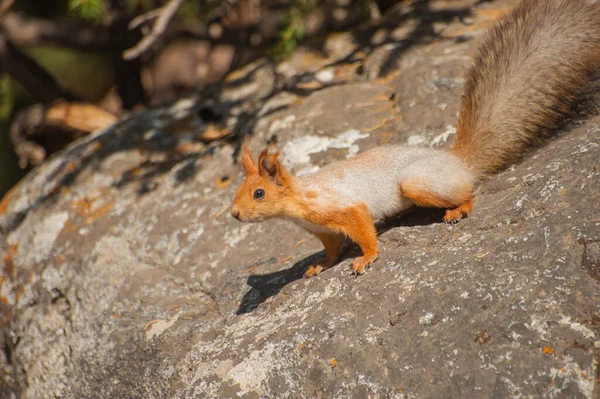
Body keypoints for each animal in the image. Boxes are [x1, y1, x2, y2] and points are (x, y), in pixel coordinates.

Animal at [230, 0, 600, 278]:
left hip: (417, 181)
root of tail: (458, 162)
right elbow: (332, 250)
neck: (299, 198)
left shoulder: (345, 208)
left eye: (259, 193)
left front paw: (366, 258)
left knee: (467, 191)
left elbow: (363, 228)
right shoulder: (325, 231)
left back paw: (458, 209)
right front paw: (320, 265)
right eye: (238, 190)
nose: (233, 215)